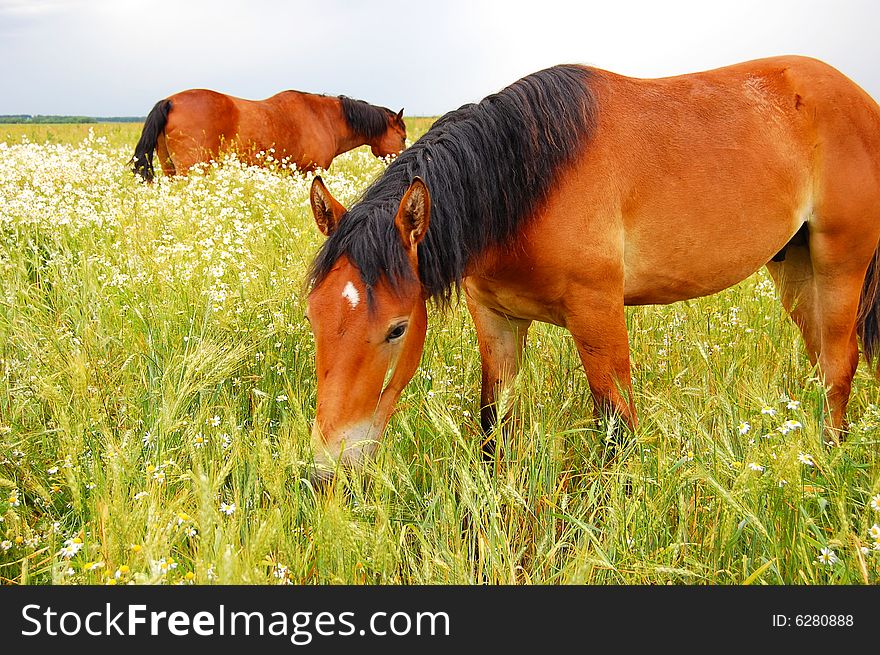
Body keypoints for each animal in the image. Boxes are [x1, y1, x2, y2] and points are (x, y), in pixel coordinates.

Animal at [130, 87, 406, 181]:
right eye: (402, 136)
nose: (403, 160)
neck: (323, 117)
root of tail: (169, 102)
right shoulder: (309, 171)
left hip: (170, 168)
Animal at [304, 57, 880, 482]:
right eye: (313, 318)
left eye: (397, 329)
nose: (326, 469)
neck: (532, 176)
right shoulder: (495, 319)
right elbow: (494, 425)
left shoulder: (597, 312)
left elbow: (617, 430)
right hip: (795, 269)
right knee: (822, 362)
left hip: (839, 265)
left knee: (838, 365)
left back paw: (827, 463)